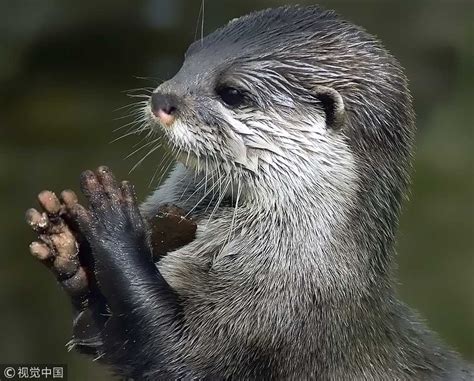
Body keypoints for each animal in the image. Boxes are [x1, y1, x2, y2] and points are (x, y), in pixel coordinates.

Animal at [26, 5, 474, 380]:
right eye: (187, 58)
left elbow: (171, 354)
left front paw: (114, 223)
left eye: (233, 94)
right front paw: (66, 244)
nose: (162, 98)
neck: (305, 268)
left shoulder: (269, 320)